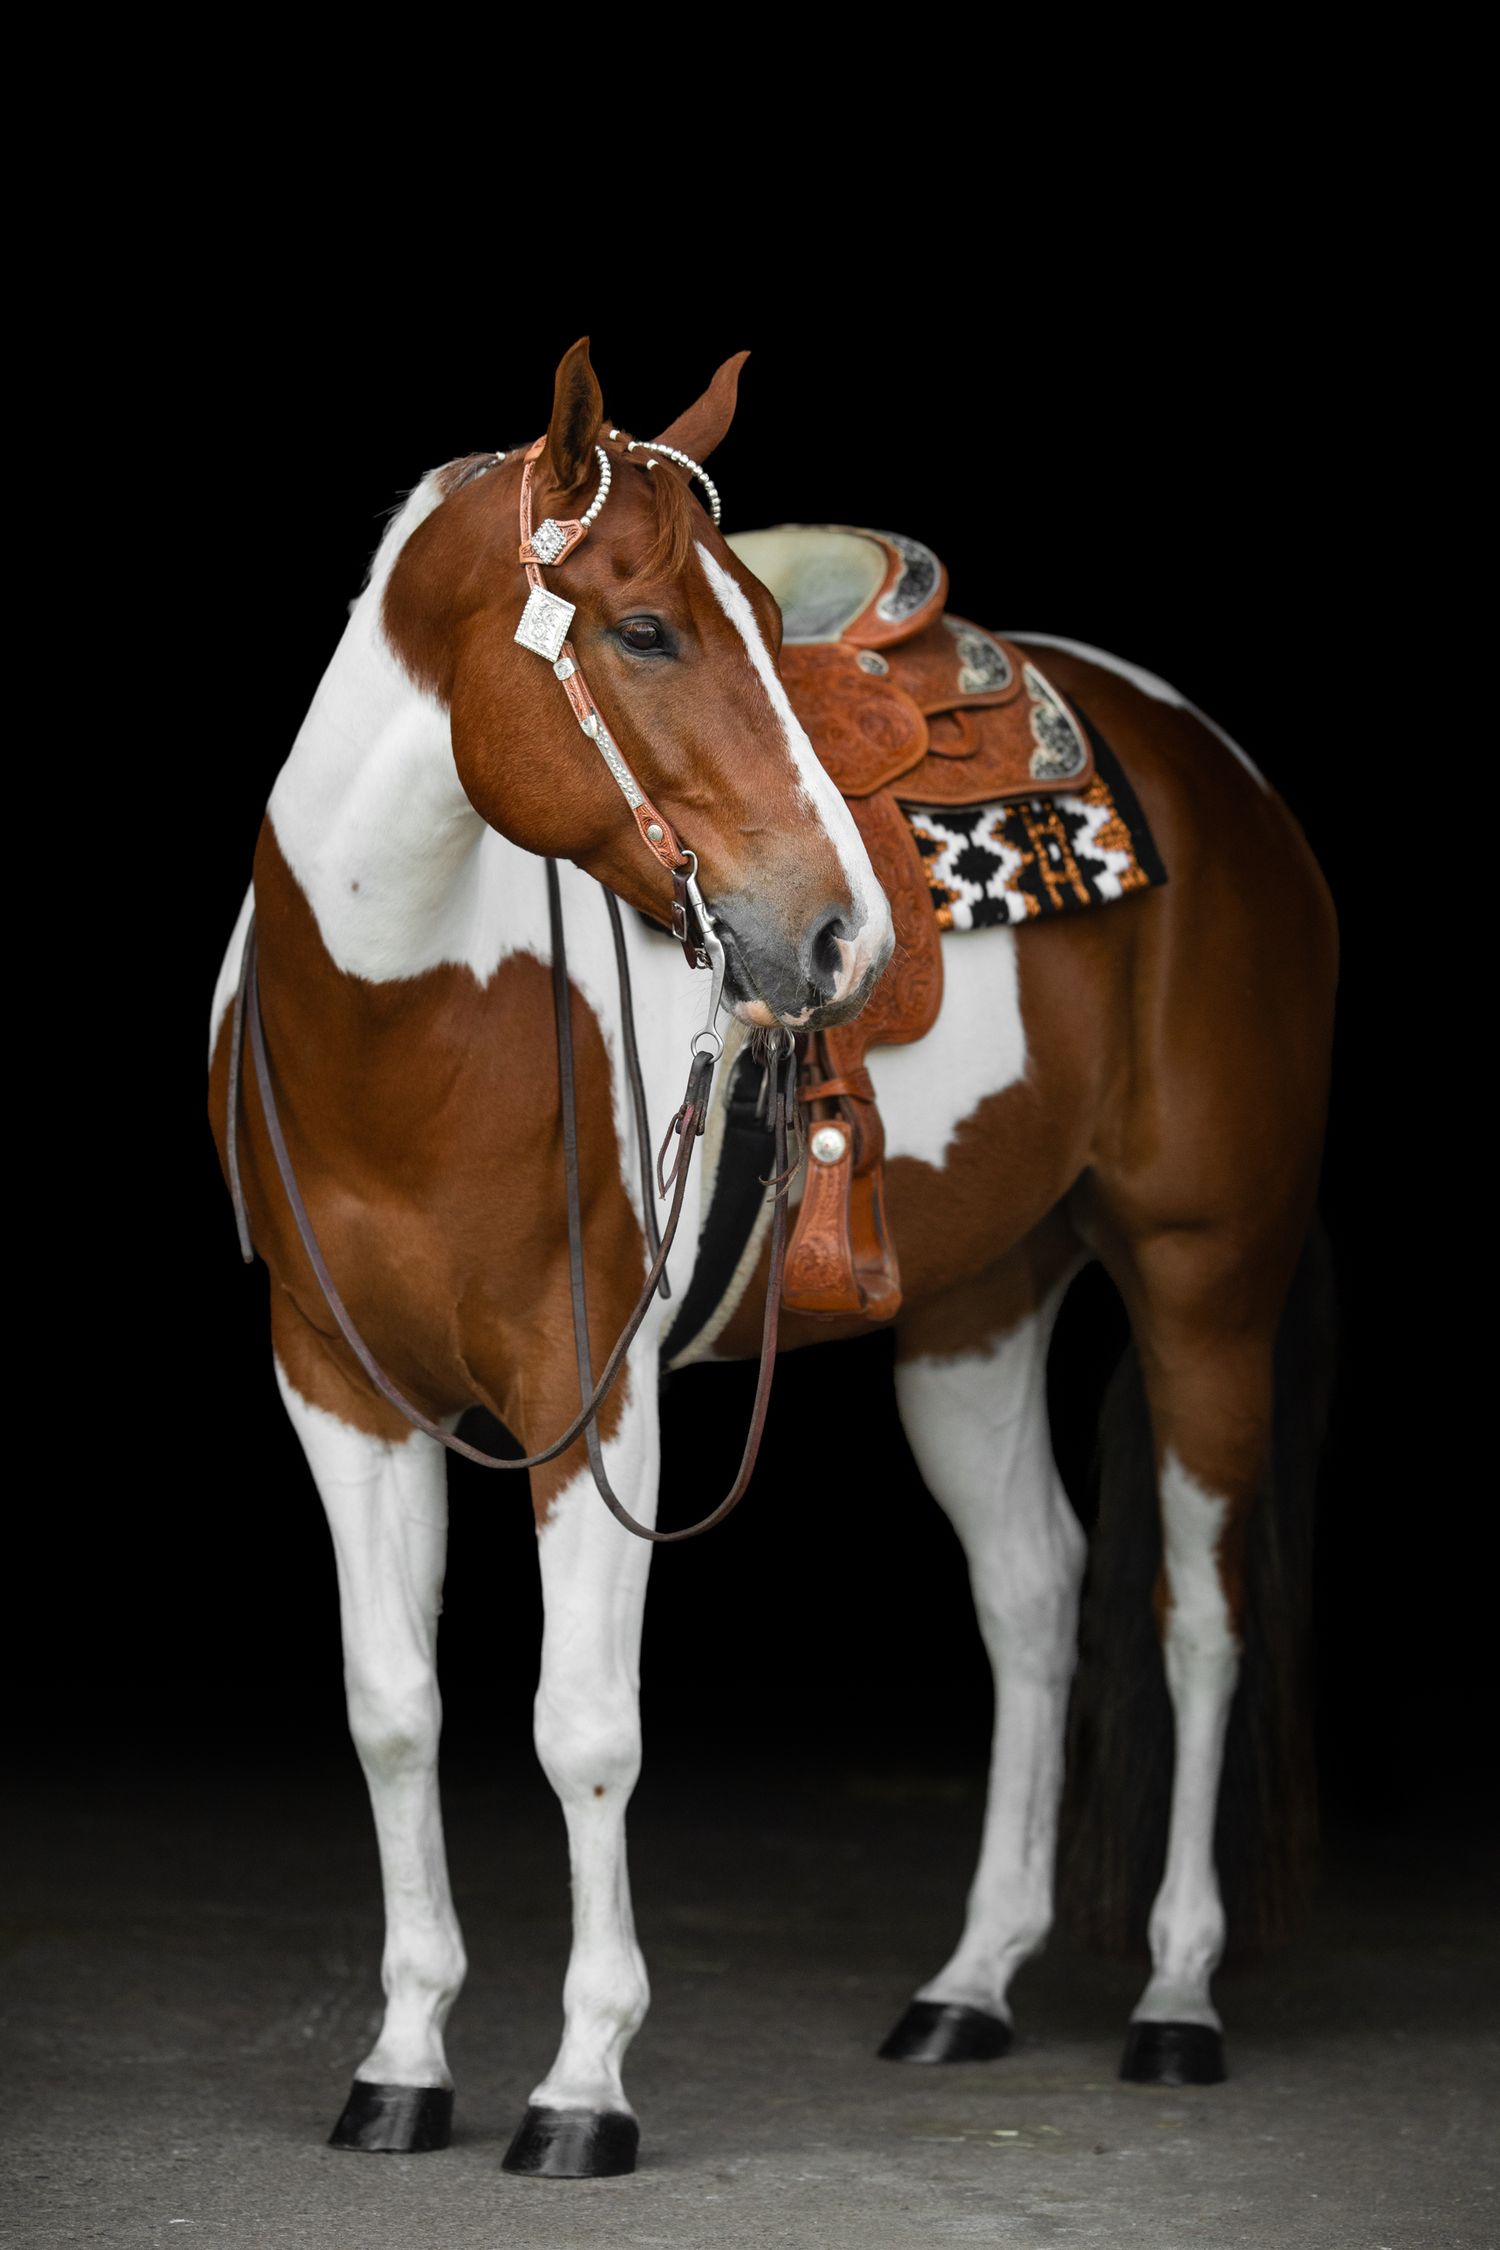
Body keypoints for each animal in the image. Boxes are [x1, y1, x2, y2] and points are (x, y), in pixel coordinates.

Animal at [207, 337, 1337, 2178]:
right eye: (646, 631)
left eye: (737, 613)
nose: (841, 939)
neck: (405, 1015)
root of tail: (1213, 767)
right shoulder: (335, 1387)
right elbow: (394, 1709)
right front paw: (402, 2062)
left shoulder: (592, 1394)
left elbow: (582, 1730)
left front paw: (582, 2086)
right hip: (973, 1310)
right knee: (1032, 1592)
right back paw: (968, 1987)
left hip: (1204, 1276)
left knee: (1198, 1608)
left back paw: (1177, 2001)